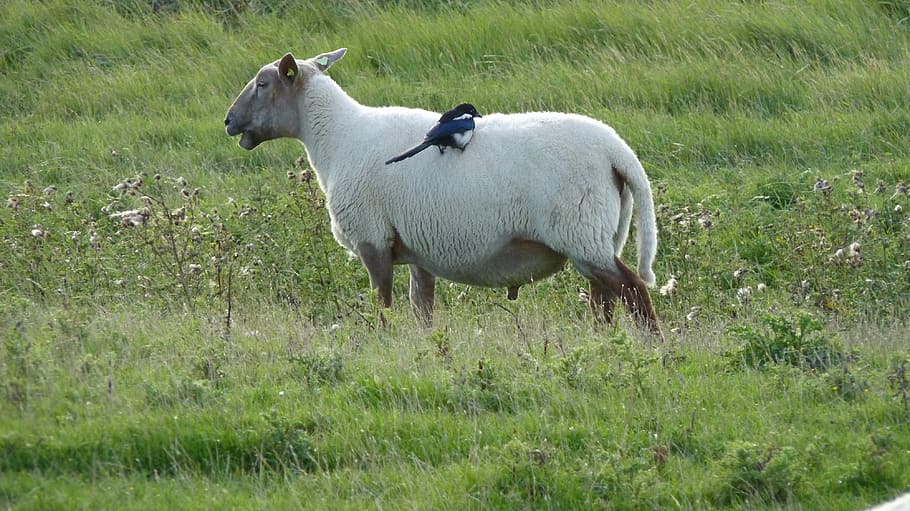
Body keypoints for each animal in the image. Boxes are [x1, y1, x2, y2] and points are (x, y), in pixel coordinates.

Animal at [224, 48, 661, 336]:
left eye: (262, 83)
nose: (228, 121)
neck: (336, 137)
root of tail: (616, 151)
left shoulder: (372, 240)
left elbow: (383, 305)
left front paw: (382, 343)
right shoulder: (417, 249)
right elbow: (422, 310)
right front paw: (427, 347)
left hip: (581, 231)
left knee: (633, 291)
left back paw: (651, 346)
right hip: (597, 236)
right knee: (604, 299)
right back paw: (603, 340)